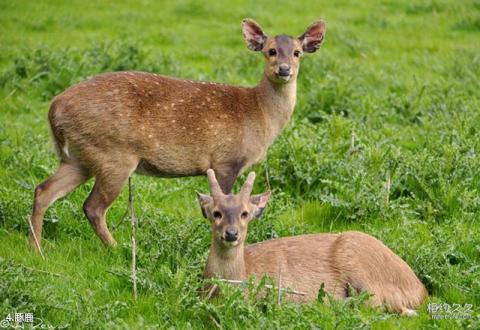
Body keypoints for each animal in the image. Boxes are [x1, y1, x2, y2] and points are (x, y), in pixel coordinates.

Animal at [27, 18, 326, 250]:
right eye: (270, 51)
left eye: (297, 52)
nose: (284, 69)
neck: (259, 113)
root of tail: (54, 109)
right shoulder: (225, 160)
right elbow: (223, 202)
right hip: (113, 154)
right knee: (92, 206)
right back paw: (117, 248)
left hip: (79, 157)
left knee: (43, 190)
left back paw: (36, 248)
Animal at [199, 170, 428, 314]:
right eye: (216, 213)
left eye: (245, 213)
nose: (231, 234)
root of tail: (420, 290)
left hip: (359, 264)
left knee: (377, 305)